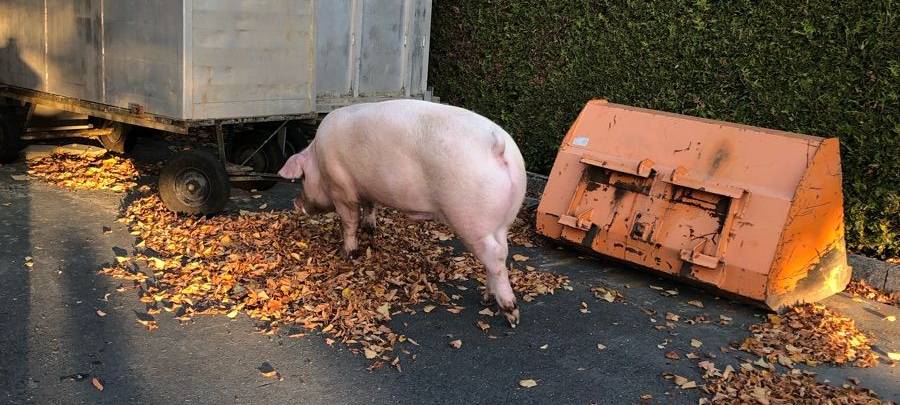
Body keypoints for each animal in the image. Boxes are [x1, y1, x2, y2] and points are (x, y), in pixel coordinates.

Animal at [278, 99, 527, 327]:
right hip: (501, 222)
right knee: (501, 252)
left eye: (302, 177)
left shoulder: (342, 191)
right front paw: (370, 229)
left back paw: (511, 315)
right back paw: (486, 298)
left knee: (495, 256)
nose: (295, 203)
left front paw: (347, 254)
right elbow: (370, 206)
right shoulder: (367, 189)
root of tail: (497, 143)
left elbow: (349, 222)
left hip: (470, 220)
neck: (318, 159)